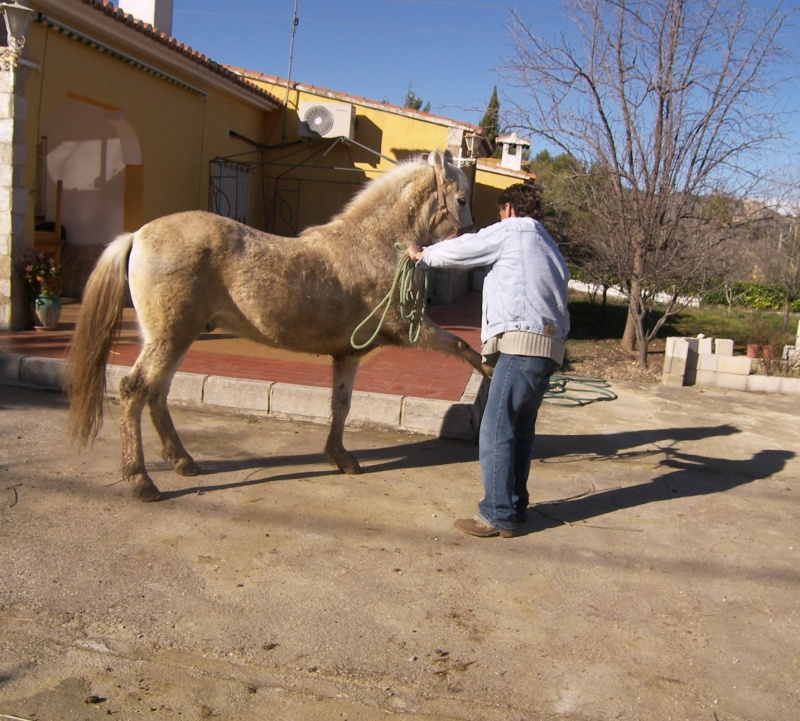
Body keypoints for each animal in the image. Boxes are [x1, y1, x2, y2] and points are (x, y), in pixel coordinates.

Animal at [65, 149, 484, 500]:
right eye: (462, 200)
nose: (471, 252)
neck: (374, 245)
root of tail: (137, 235)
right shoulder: (410, 329)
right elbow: (462, 347)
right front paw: (489, 370)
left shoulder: (348, 353)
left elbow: (341, 404)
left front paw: (340, 457)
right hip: (170, 338)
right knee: (134, 390)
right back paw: (141, 481)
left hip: (174, 339)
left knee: (157, 393)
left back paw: (183, 462)